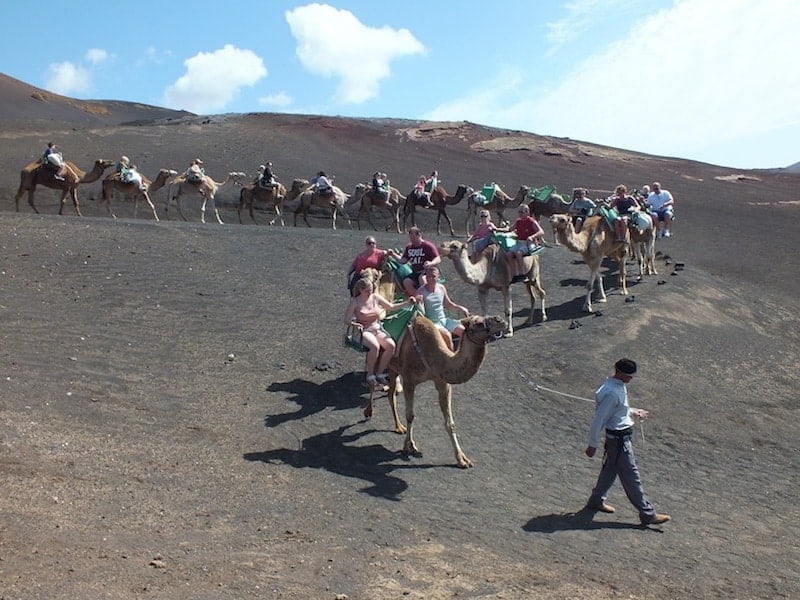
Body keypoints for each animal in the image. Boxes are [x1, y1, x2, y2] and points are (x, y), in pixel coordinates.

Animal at [378, 314, 504, 468]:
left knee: (390, 394)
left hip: (393, 367)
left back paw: (398, 425)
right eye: (478, 324)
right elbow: (410, 415)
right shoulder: (409, 380)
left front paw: (462, 459)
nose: (500, 320)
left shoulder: (442, 383)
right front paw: (410, 446)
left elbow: (450, 423)